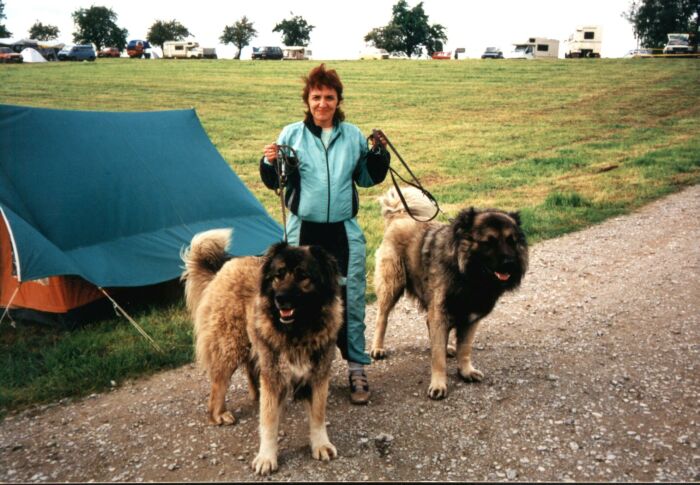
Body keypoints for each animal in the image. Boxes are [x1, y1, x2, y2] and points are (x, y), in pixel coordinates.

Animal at [181, 229, 343, 475]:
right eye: (278, 275)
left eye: (303, 275)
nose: (280, 299)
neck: (297, 331)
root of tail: (224, 268)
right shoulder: (274, 376)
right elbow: (268, 423)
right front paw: (266, 457)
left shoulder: (318, 375)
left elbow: (317, 415)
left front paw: (320, 445)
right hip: (231, 347)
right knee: (219, 384)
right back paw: (219, 414)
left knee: (251, 373)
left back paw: (255, 395)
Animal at [371, 187, 528, 400]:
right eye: (489, 242)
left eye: (512, 241)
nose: (509, 263)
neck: (467, 274)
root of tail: (399, 215)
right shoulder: (440, 314)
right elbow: (438, 358)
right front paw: (439, 384)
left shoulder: (470, 319)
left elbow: (465, 349)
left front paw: (465, 371)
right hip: (392, 285)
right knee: (382, 318)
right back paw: (377, 347)